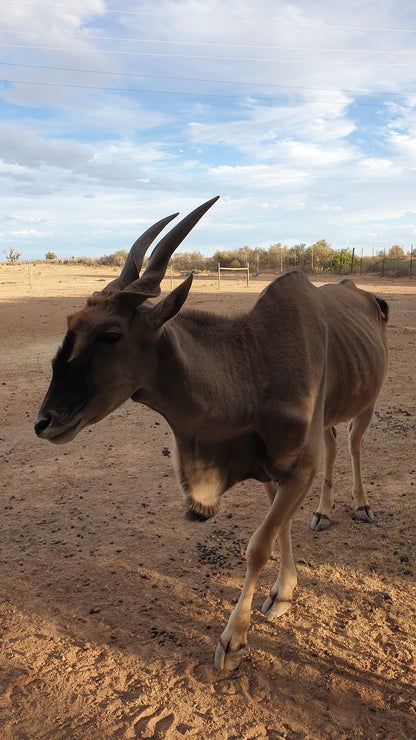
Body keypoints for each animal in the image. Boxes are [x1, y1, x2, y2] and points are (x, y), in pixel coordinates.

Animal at [34, 197, 388, 672]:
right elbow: (279, 529)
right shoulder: (273, 472)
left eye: (111, 334)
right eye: (71, 322)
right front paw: (283, 593)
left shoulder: (298, 470)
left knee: (352, 443)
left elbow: (258, 545)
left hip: (367, 403)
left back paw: (362, 506)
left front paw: (233, 640)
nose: (45, 421)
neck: (254, 366)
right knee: (334, 443)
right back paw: (324, 513)